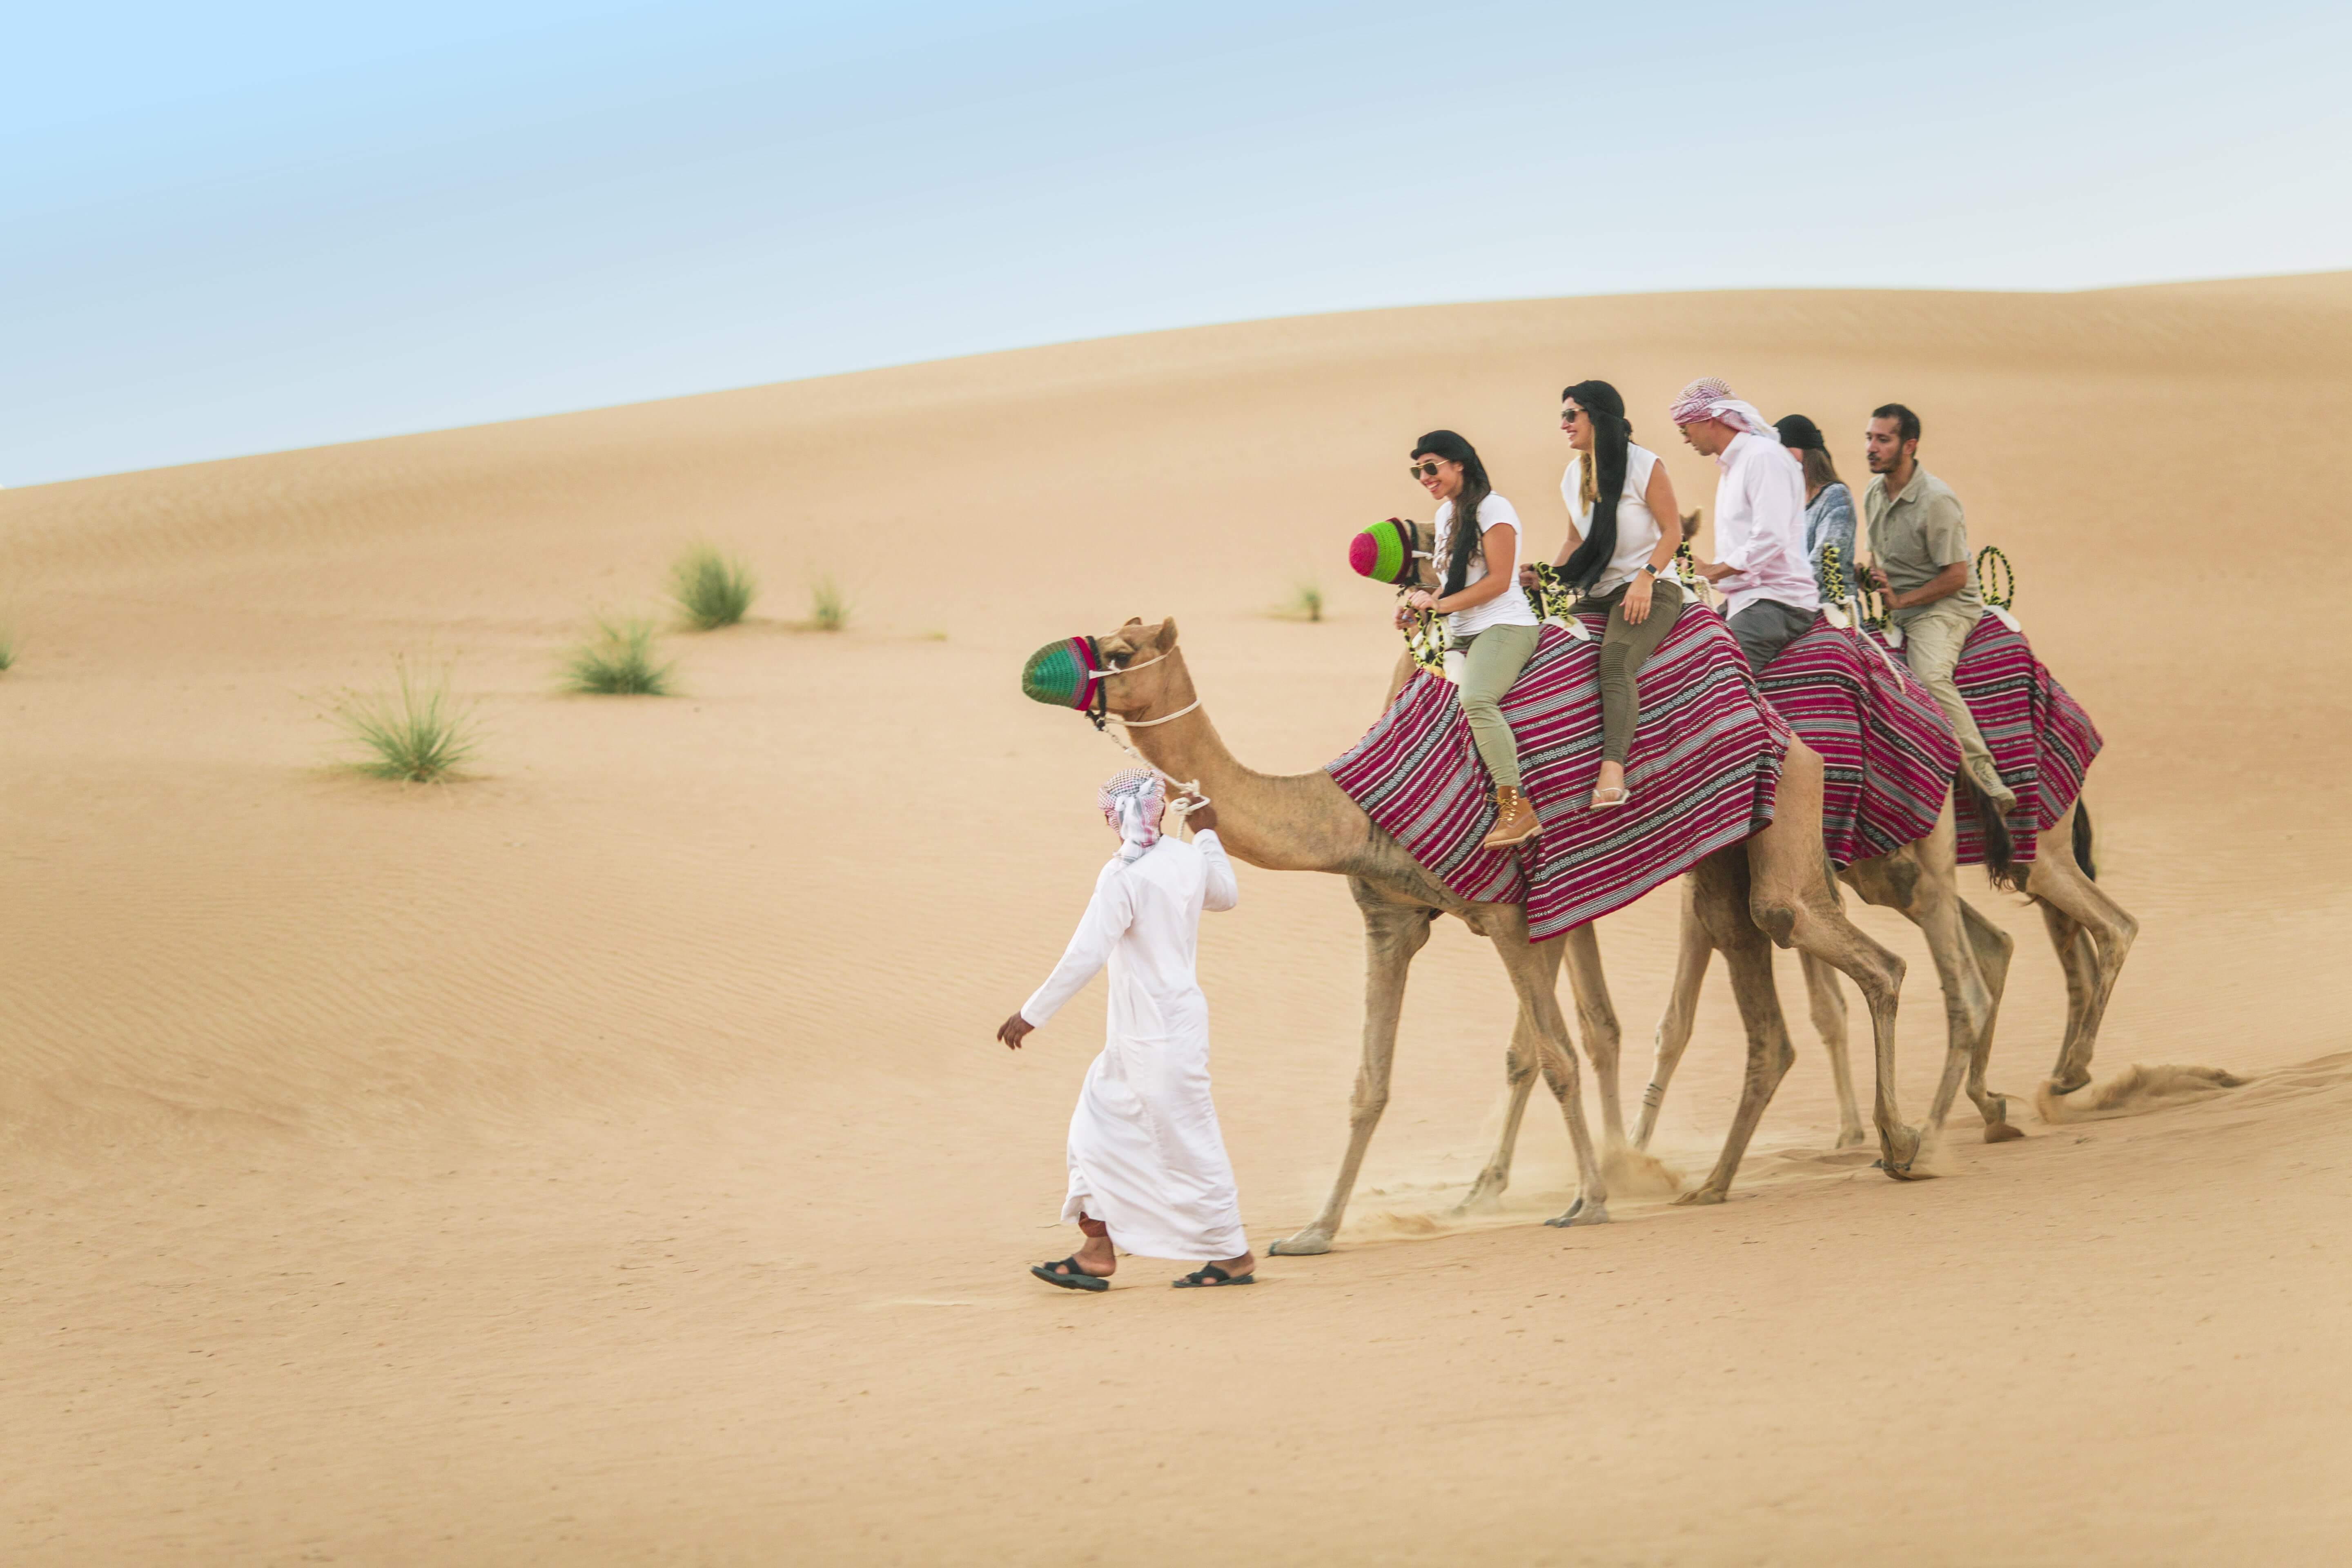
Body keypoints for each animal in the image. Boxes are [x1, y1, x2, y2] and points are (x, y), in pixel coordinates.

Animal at [1076, 615, 1918, 1255]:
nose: (1066, 669)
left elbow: (1555, 1058)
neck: (1347, 811)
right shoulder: (1390, 922)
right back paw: (1724, 1182)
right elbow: (1370, 1084)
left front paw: (1589, 1200)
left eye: (1120, 653)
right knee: (1770, 993)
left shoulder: (1510, 918)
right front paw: (1314, 1232)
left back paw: (1903, 1142)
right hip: (1720, 859)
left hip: (1788, 808)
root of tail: (1767, 705)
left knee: (1844, 946)